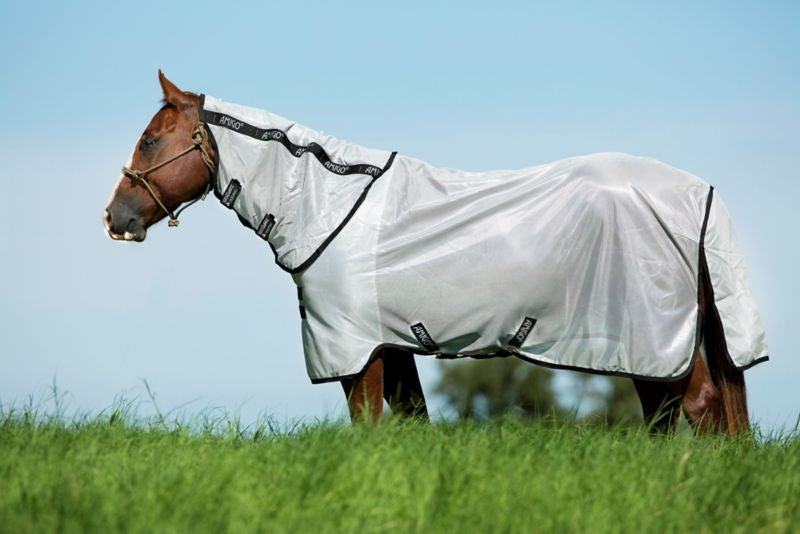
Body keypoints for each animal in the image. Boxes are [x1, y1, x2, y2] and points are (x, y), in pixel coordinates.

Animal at [104, 71, 768, 434]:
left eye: (150, 140)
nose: (115, 218)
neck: (330, 205)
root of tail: (697, 192)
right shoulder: (392, 346)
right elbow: (409, 423)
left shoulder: (358, 350)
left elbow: (368, 425)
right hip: (644, 350)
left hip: (653, 340)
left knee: (701, 407)